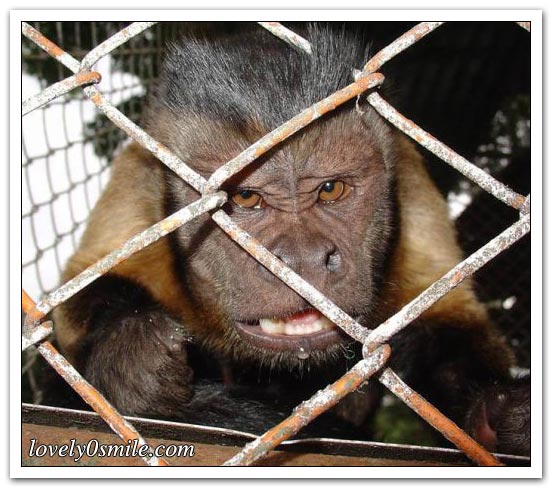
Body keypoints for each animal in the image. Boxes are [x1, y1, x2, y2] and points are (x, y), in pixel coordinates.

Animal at [50, 24, 530, 457]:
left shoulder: (412, 185)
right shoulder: (136, 185)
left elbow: (445, 320)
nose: (303, 258)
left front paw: (500, 413)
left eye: (331, 189)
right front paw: (127, 354)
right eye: (245, 198)